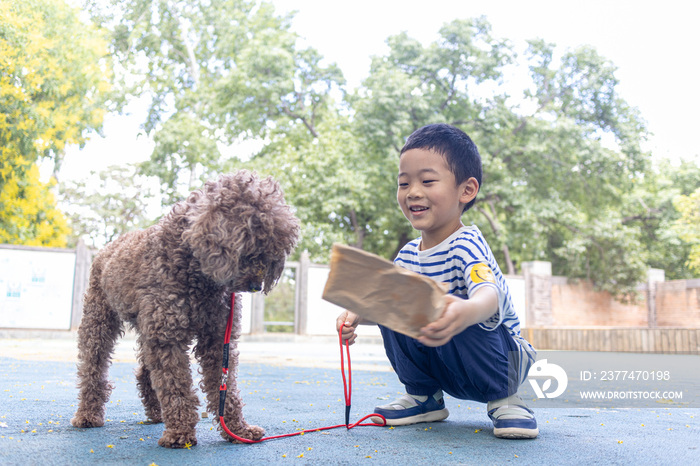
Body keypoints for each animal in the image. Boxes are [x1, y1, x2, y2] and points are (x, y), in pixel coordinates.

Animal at [70, 171, 298, 448]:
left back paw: (156, 413)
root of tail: (108, 246)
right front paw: (180, 433)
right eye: (249, 247)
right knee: (93, 368)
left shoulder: (216, 338)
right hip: (99, 321)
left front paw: (238, 430)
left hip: (147, 328)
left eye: (270, 253)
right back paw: (88, 415)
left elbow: (225, 389)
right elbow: (175, 386)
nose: (256, 285)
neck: (196, 273)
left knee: (145, 372)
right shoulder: (167, 338)